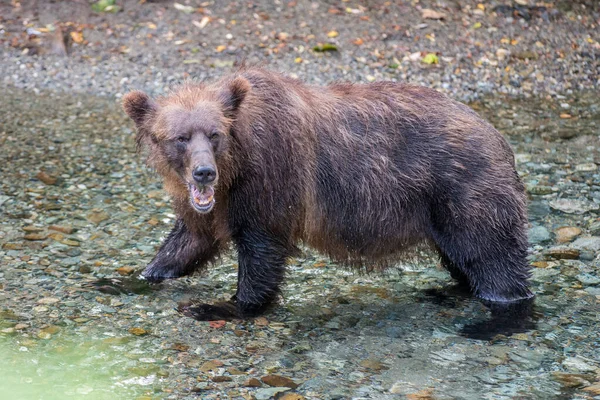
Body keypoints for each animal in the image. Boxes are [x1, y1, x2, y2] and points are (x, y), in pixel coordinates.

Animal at [122, 67, 528, 320]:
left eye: (214, 133)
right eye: (180, 137)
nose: (204, 172)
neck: (235, 168)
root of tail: (499, 138)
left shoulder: (272, 178)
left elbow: (261, 250)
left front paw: (223, 306)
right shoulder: (217, 202)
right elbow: (189, 240)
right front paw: (132, 279)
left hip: (466, 189)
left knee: (493, 261)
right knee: (465, 262)